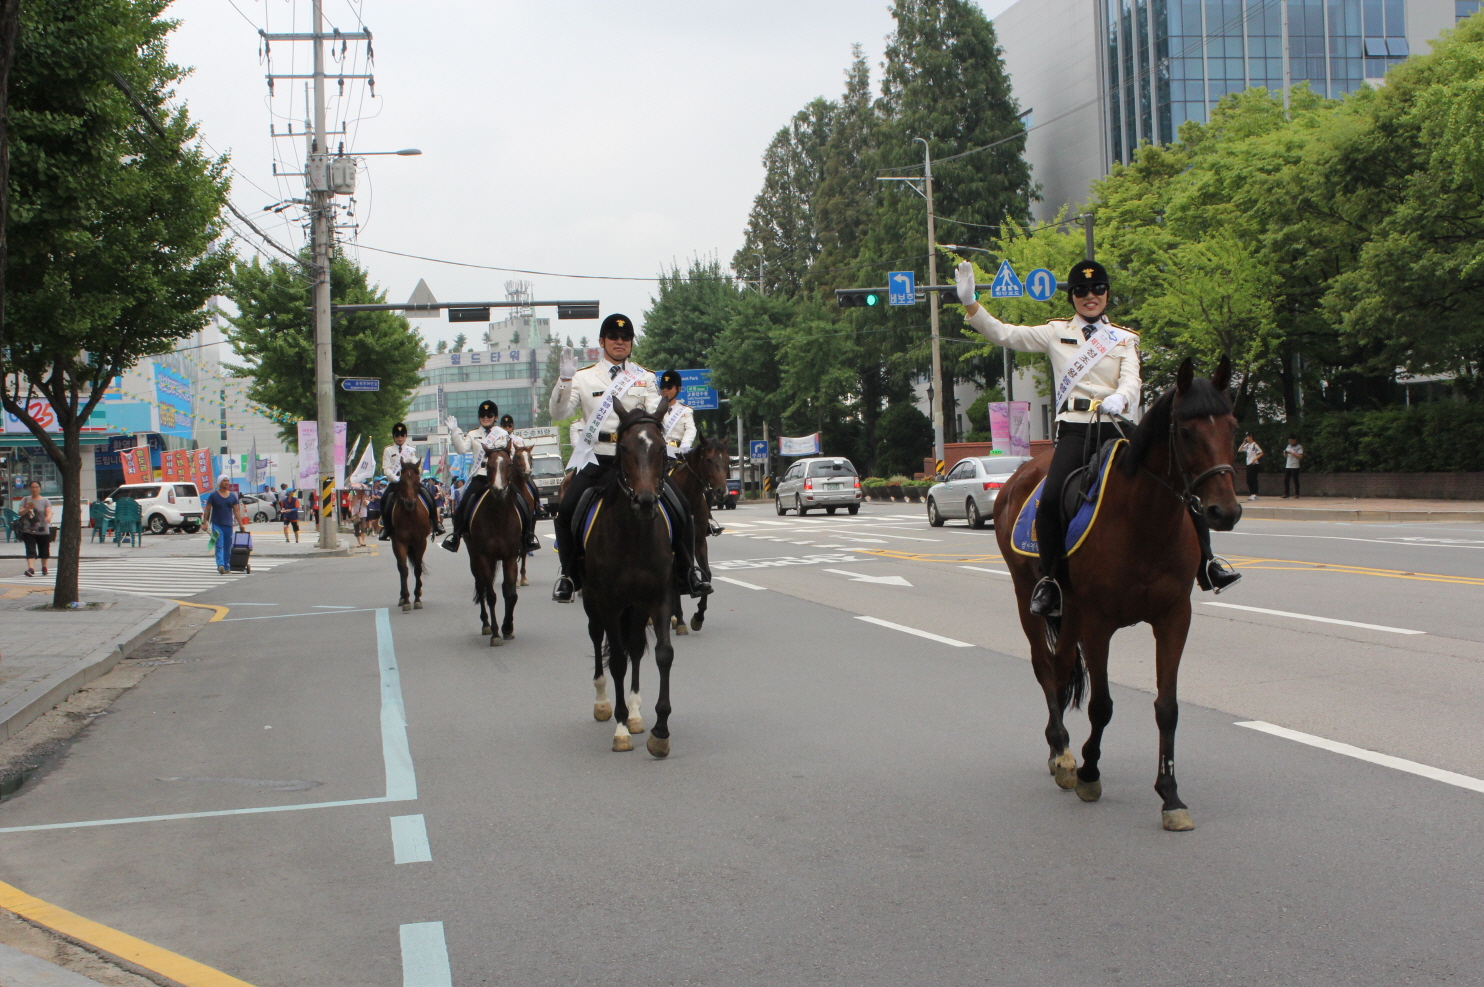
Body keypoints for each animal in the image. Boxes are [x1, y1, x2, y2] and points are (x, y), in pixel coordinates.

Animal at [388, 460, 430, 608]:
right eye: (401, 480)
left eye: (417, 480)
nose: (410, 503)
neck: (410, 515)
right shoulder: (398, 542)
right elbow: (403, 569)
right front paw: (406, 599)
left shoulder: (421, 542)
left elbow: (417, 569)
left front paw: (417, 597)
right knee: (401, 568)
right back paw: (402, 598)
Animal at [471, 439, 531, 644]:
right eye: (487, 465)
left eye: (509, 464)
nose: (498, 490)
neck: (498, 517)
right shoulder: (483, 557)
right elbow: (490, 595)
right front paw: (496, 633)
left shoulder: (510, 557)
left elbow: (510, 593)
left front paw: (508, 627)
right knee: (480, 585)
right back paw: (486, 624)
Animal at [584, 397, 679, 756]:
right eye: (623, 448)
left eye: (662, 448)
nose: (646, 501)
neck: (634, 534)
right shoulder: (609, 602)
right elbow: (617, 662)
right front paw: (621, 728)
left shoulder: (659, 597)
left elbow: (663, 654)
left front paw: (660, 730)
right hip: (592, 600)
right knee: (598, 638)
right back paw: (603, 703)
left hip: (636, 607)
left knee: (636, 646)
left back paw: (637, 713)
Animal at [670, 436, 727, 635]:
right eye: (708, 460)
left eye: (726, 460)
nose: (721, 491)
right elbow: (674, 577)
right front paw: (680, 619)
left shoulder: (700, 540)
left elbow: (707, 573)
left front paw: (698, 616)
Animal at [991, 356, 1246, 831]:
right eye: (1186, 431)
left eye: (1232, 427)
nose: (1225, 512)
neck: (1145, 518)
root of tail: (1021, 474)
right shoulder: (1098, 623)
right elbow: (1102, 706)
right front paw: (1090, 773)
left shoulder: (1173, 617)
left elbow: (1167, 707)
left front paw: (1170, 795)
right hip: (1027, 596)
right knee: (1045, 668)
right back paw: (1063, 754)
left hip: (1069, 611)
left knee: (1060, 666)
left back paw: (1061, 753)